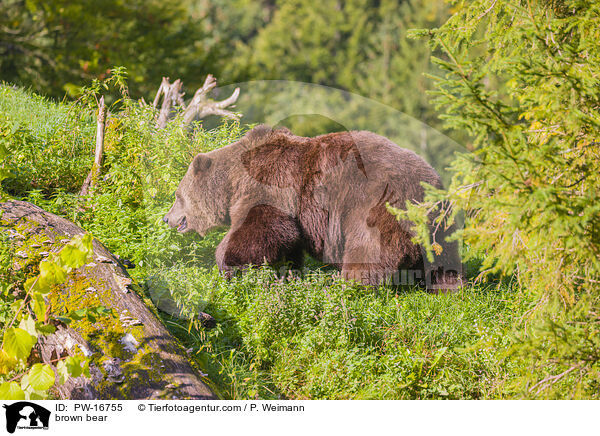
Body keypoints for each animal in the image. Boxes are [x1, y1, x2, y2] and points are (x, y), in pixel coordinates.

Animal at [162, 126, 462, 290]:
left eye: (177, 195)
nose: (166, 218)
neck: (232, 183)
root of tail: (428, 190)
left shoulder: (267, 186)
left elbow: (260, 228)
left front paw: (226, 263)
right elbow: (286, 243)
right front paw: (287, 274)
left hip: (375, 205)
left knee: (368, 249)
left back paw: (349, 283)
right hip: (442, 224)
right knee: (445, 263)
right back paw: (447, 288)